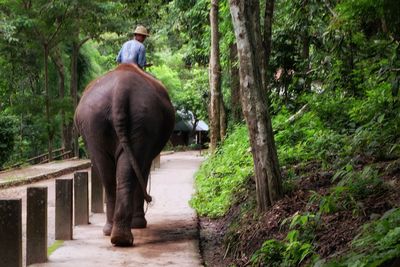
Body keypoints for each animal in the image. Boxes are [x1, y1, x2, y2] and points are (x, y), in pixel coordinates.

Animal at [74, 63, 174, 247]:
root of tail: (121, 90)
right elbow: (143, 169)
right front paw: (139, 224)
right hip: (136, 120)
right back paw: (123, 233)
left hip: (101, 122)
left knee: (107, 174)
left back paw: (116, 235)